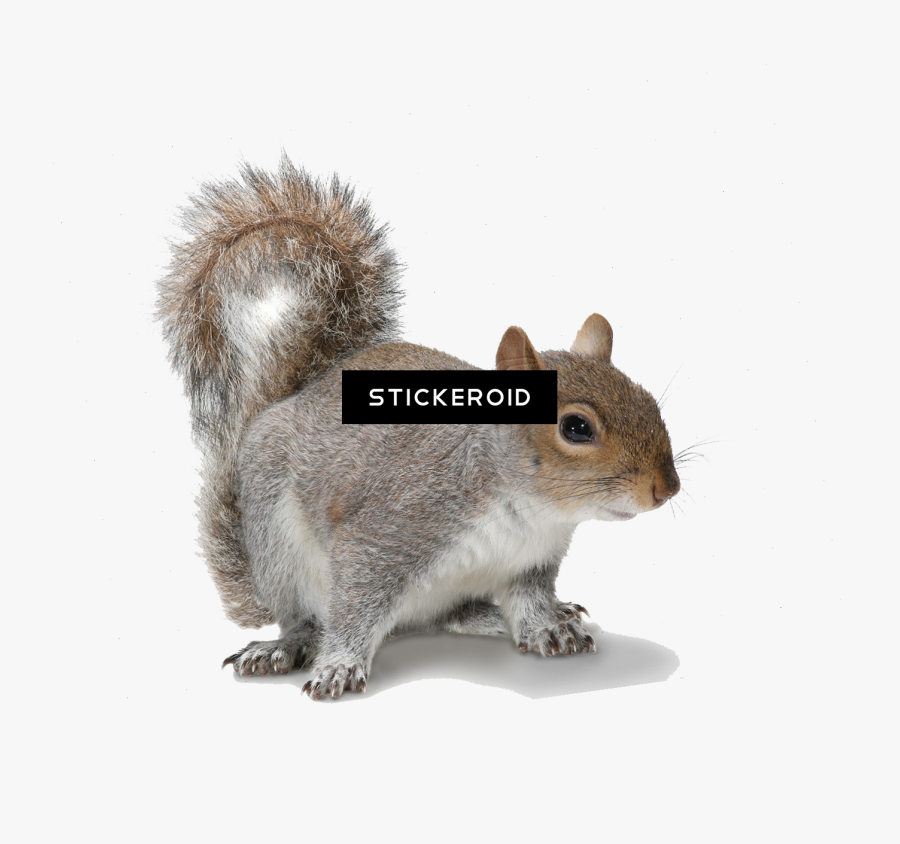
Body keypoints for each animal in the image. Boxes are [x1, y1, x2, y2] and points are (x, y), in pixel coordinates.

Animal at [157, 155, 681, 700]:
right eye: (577, 428)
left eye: (647, 399)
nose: (666, 488)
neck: (529, 514)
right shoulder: (388, 532)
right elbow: (355, 605)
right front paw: (338, 666)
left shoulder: (530, 565)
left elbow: (530, 602)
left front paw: (547, 627)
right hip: (275, 539)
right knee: (305, 617)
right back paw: (286, 645)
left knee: (448, 616)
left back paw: (508, 615)